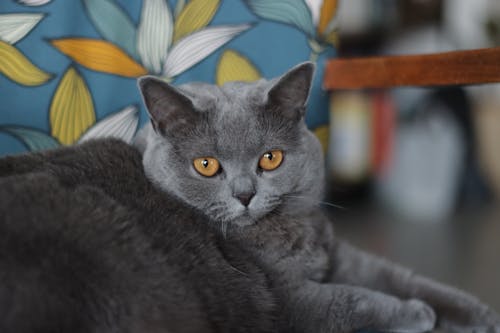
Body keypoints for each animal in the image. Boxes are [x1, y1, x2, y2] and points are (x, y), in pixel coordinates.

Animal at [135, 63, 500, 332]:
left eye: (270, 158)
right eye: (206, 165)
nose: (245, 194)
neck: (292, 233)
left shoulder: (339, 254)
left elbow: (399, 276)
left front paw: (478, 314)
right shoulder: (289, 301)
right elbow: (350, 298)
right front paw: (416, 312)